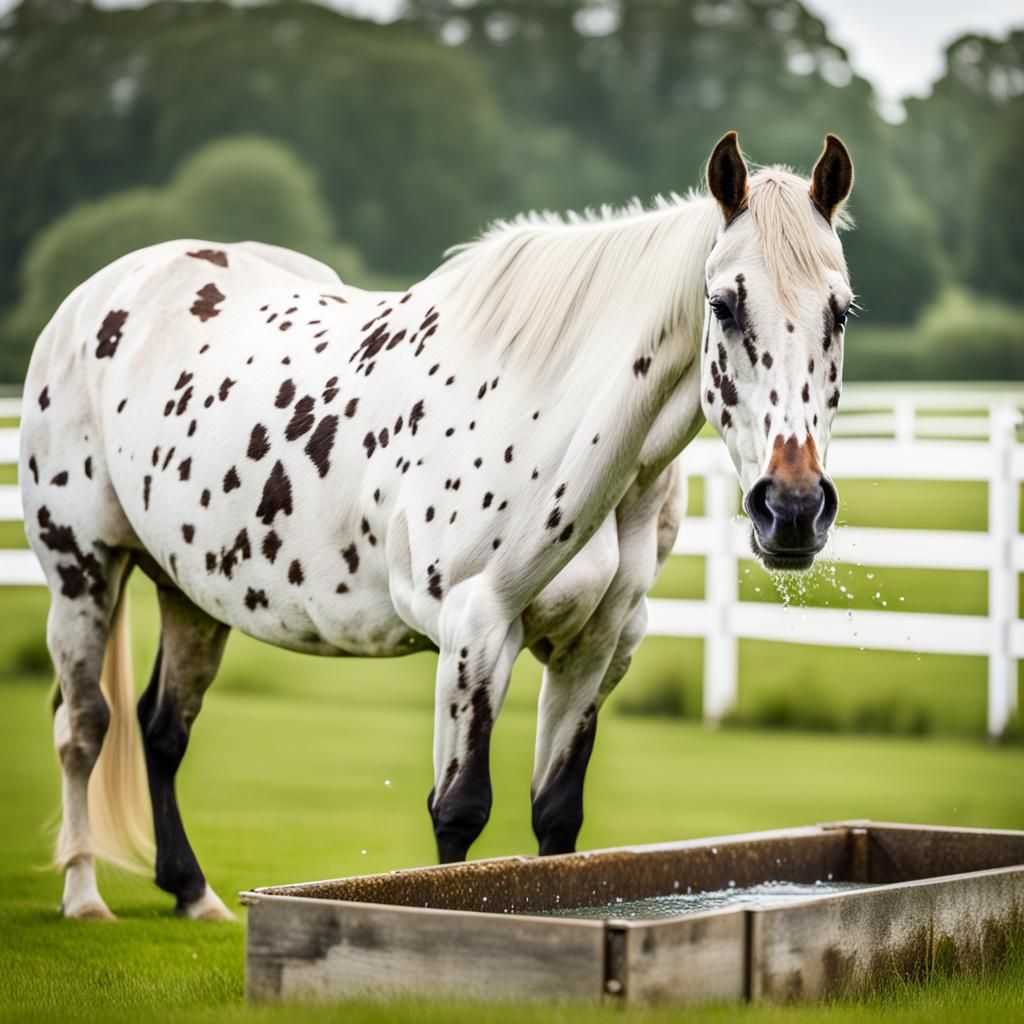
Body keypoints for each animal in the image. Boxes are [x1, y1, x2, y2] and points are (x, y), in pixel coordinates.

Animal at [20, 131, 854, 920]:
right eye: (725, 305)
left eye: (839, 311)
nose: (792, 508)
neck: (548, 414)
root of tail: (97, 294)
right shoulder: (473, 629)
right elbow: (459, 813)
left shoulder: (598, 645)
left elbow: (558, 817)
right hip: (81, 571)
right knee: (83, 726)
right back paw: (84, 895)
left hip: (191, 592)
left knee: (163, 729)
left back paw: (191, 892)